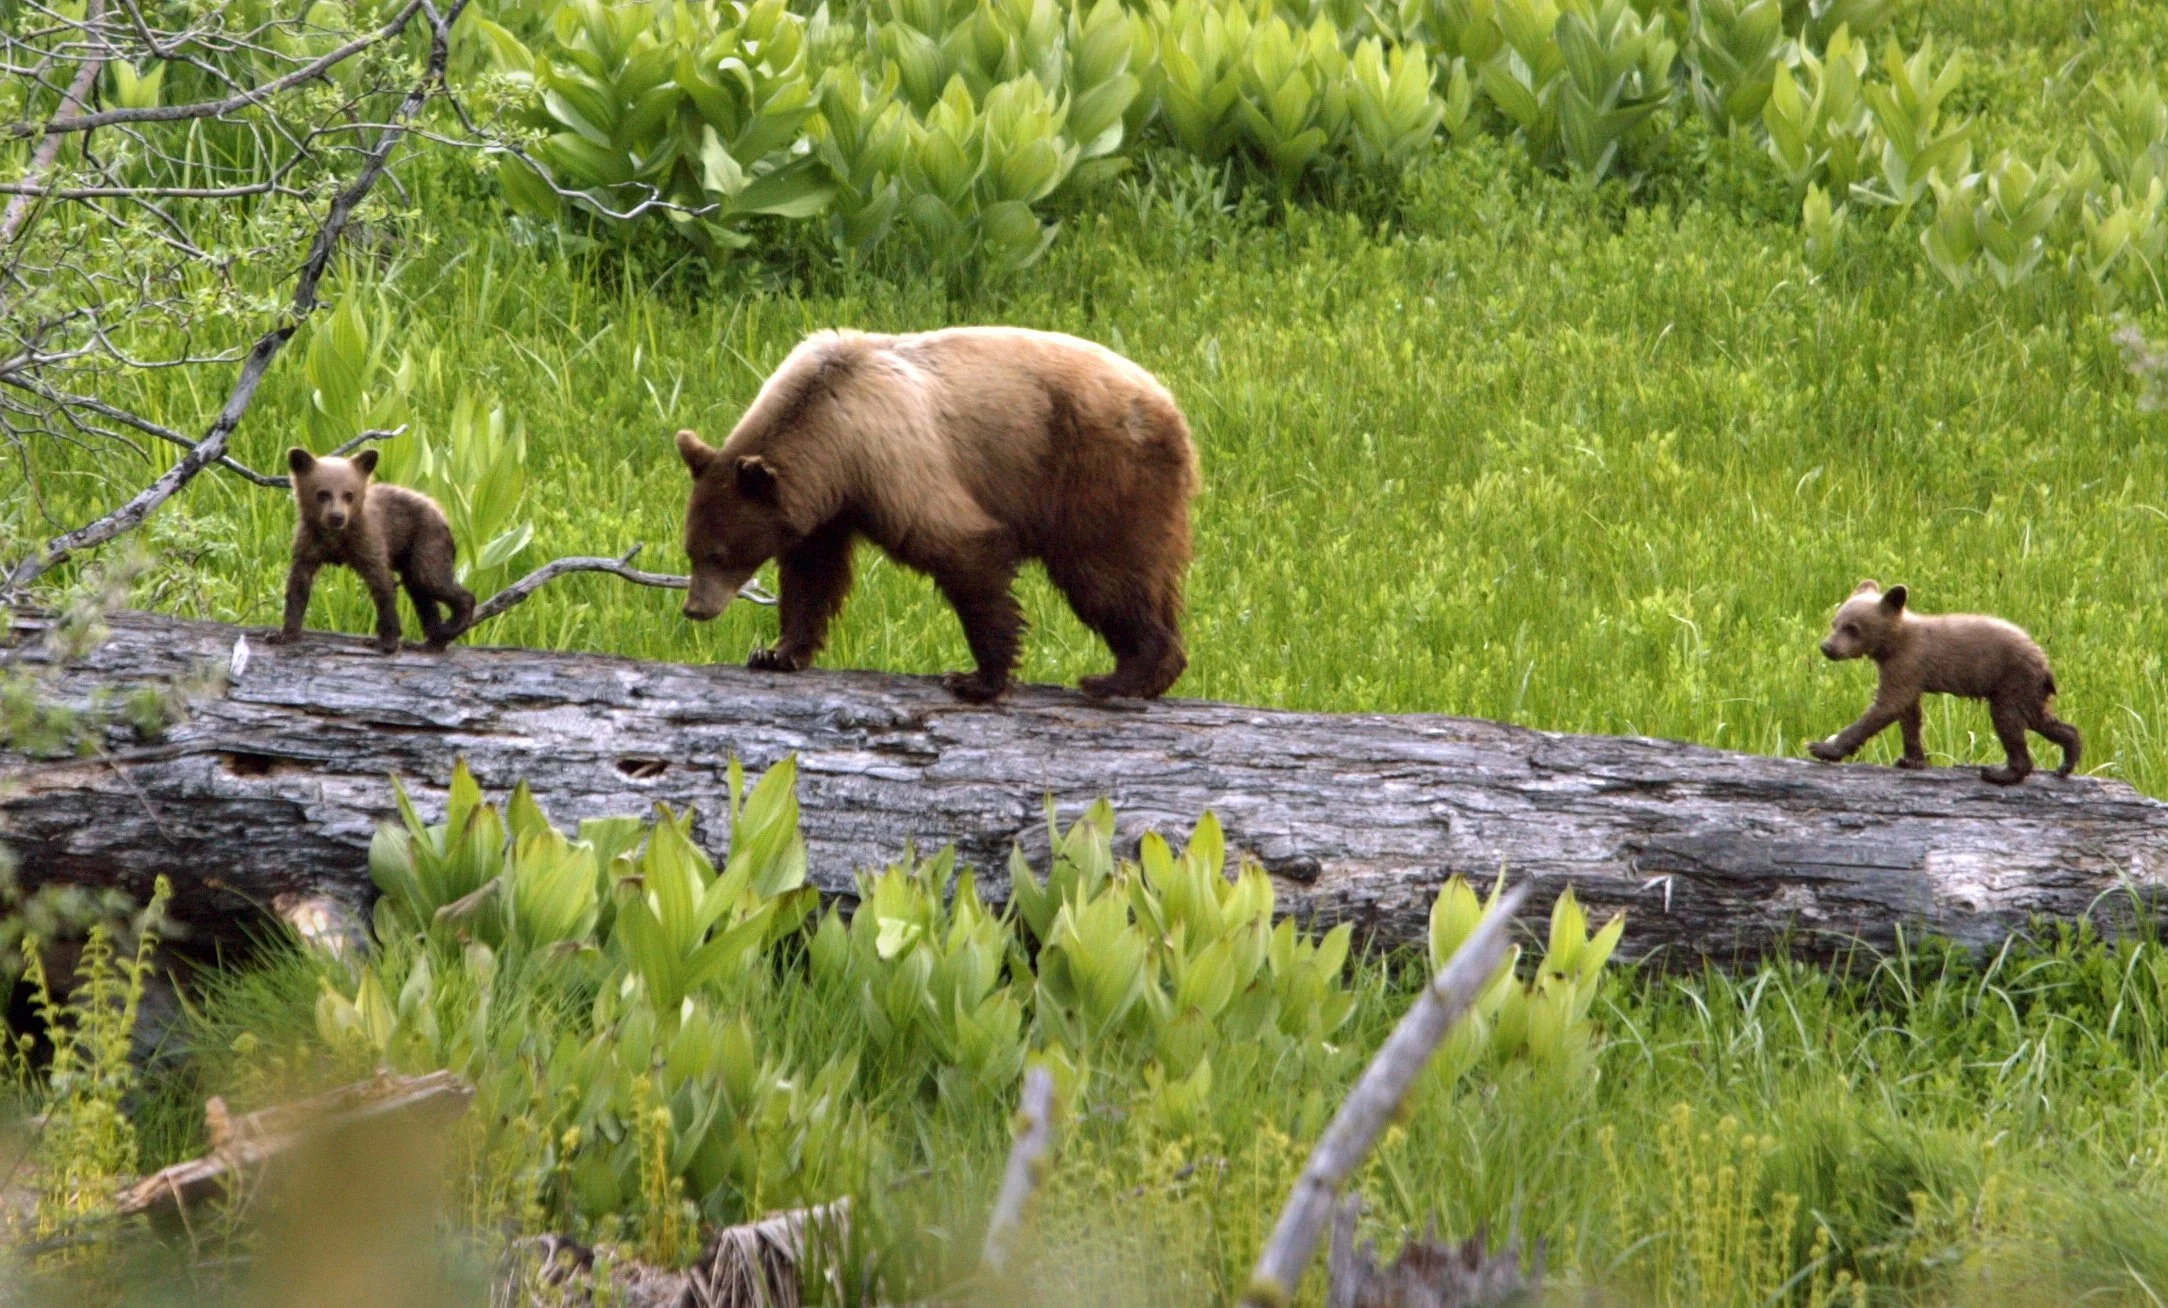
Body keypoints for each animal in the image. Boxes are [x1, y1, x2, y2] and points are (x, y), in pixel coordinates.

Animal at [275, 447, 475, 654]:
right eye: (322, 493)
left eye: (349, 494)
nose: (337, 517)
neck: (336, 537)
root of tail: (443, 513)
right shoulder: (309, 545)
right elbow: (298, 586)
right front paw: (284, 634)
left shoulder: (370, 542)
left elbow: (383, 588)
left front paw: (385, 642)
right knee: (423, 598)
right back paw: (430, 643)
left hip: (427, 542)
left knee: (434, 580)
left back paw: (451, 626)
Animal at [674, 326, 1199, 703]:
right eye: (691, 551)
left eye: (718, 555)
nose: (694, 608)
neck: (832, 437)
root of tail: (1170, 405)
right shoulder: (825, 506)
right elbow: (812, 574)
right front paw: (775, 652)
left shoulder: (894, 462)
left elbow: (962, 548)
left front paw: (975, 678)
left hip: (1102, 476)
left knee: (1105, 575)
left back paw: (1119, 678)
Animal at [1807, 580, 2080, 785]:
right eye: (1834, 622)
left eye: (1852, 628)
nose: (1827, 647)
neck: (1894, 643)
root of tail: (2045, 662)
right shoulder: (1907, 673)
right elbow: (1909, 714)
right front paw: (1911, 759)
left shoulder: (1908, 661)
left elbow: (1887, 706)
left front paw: (1822, 747)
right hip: (2028, 688)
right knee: (2042, 719)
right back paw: (2067, 761)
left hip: (2012, 680)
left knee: (2009, 720)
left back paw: (2000, 773)